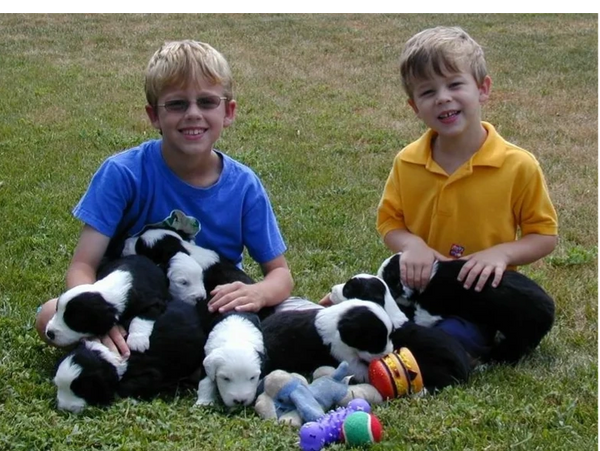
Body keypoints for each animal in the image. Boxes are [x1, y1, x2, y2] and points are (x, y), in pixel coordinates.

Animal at [54, 300, 209, 414]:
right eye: (58, 385)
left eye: (82, 389)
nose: (65, 409)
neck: (105, 356)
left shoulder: (152, 373)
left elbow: (124, 387)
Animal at [378, 254, 556, 364]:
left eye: (387, 278)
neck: (429, 276)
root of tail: (551, 309)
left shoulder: (428, 312)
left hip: (519, 334)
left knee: (510, 352)